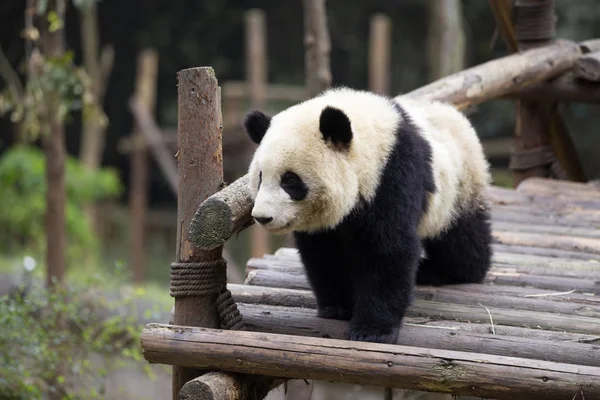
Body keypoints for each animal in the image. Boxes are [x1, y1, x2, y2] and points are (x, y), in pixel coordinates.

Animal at [244, 86, 492, 344]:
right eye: (260, 177)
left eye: (290, 181)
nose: (262, 217)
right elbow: (323, 252)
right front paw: (337, 306)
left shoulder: (392, 174)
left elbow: (388, 248)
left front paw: (372, 330)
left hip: (460, 184)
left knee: (460, 238)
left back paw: (449, 270)